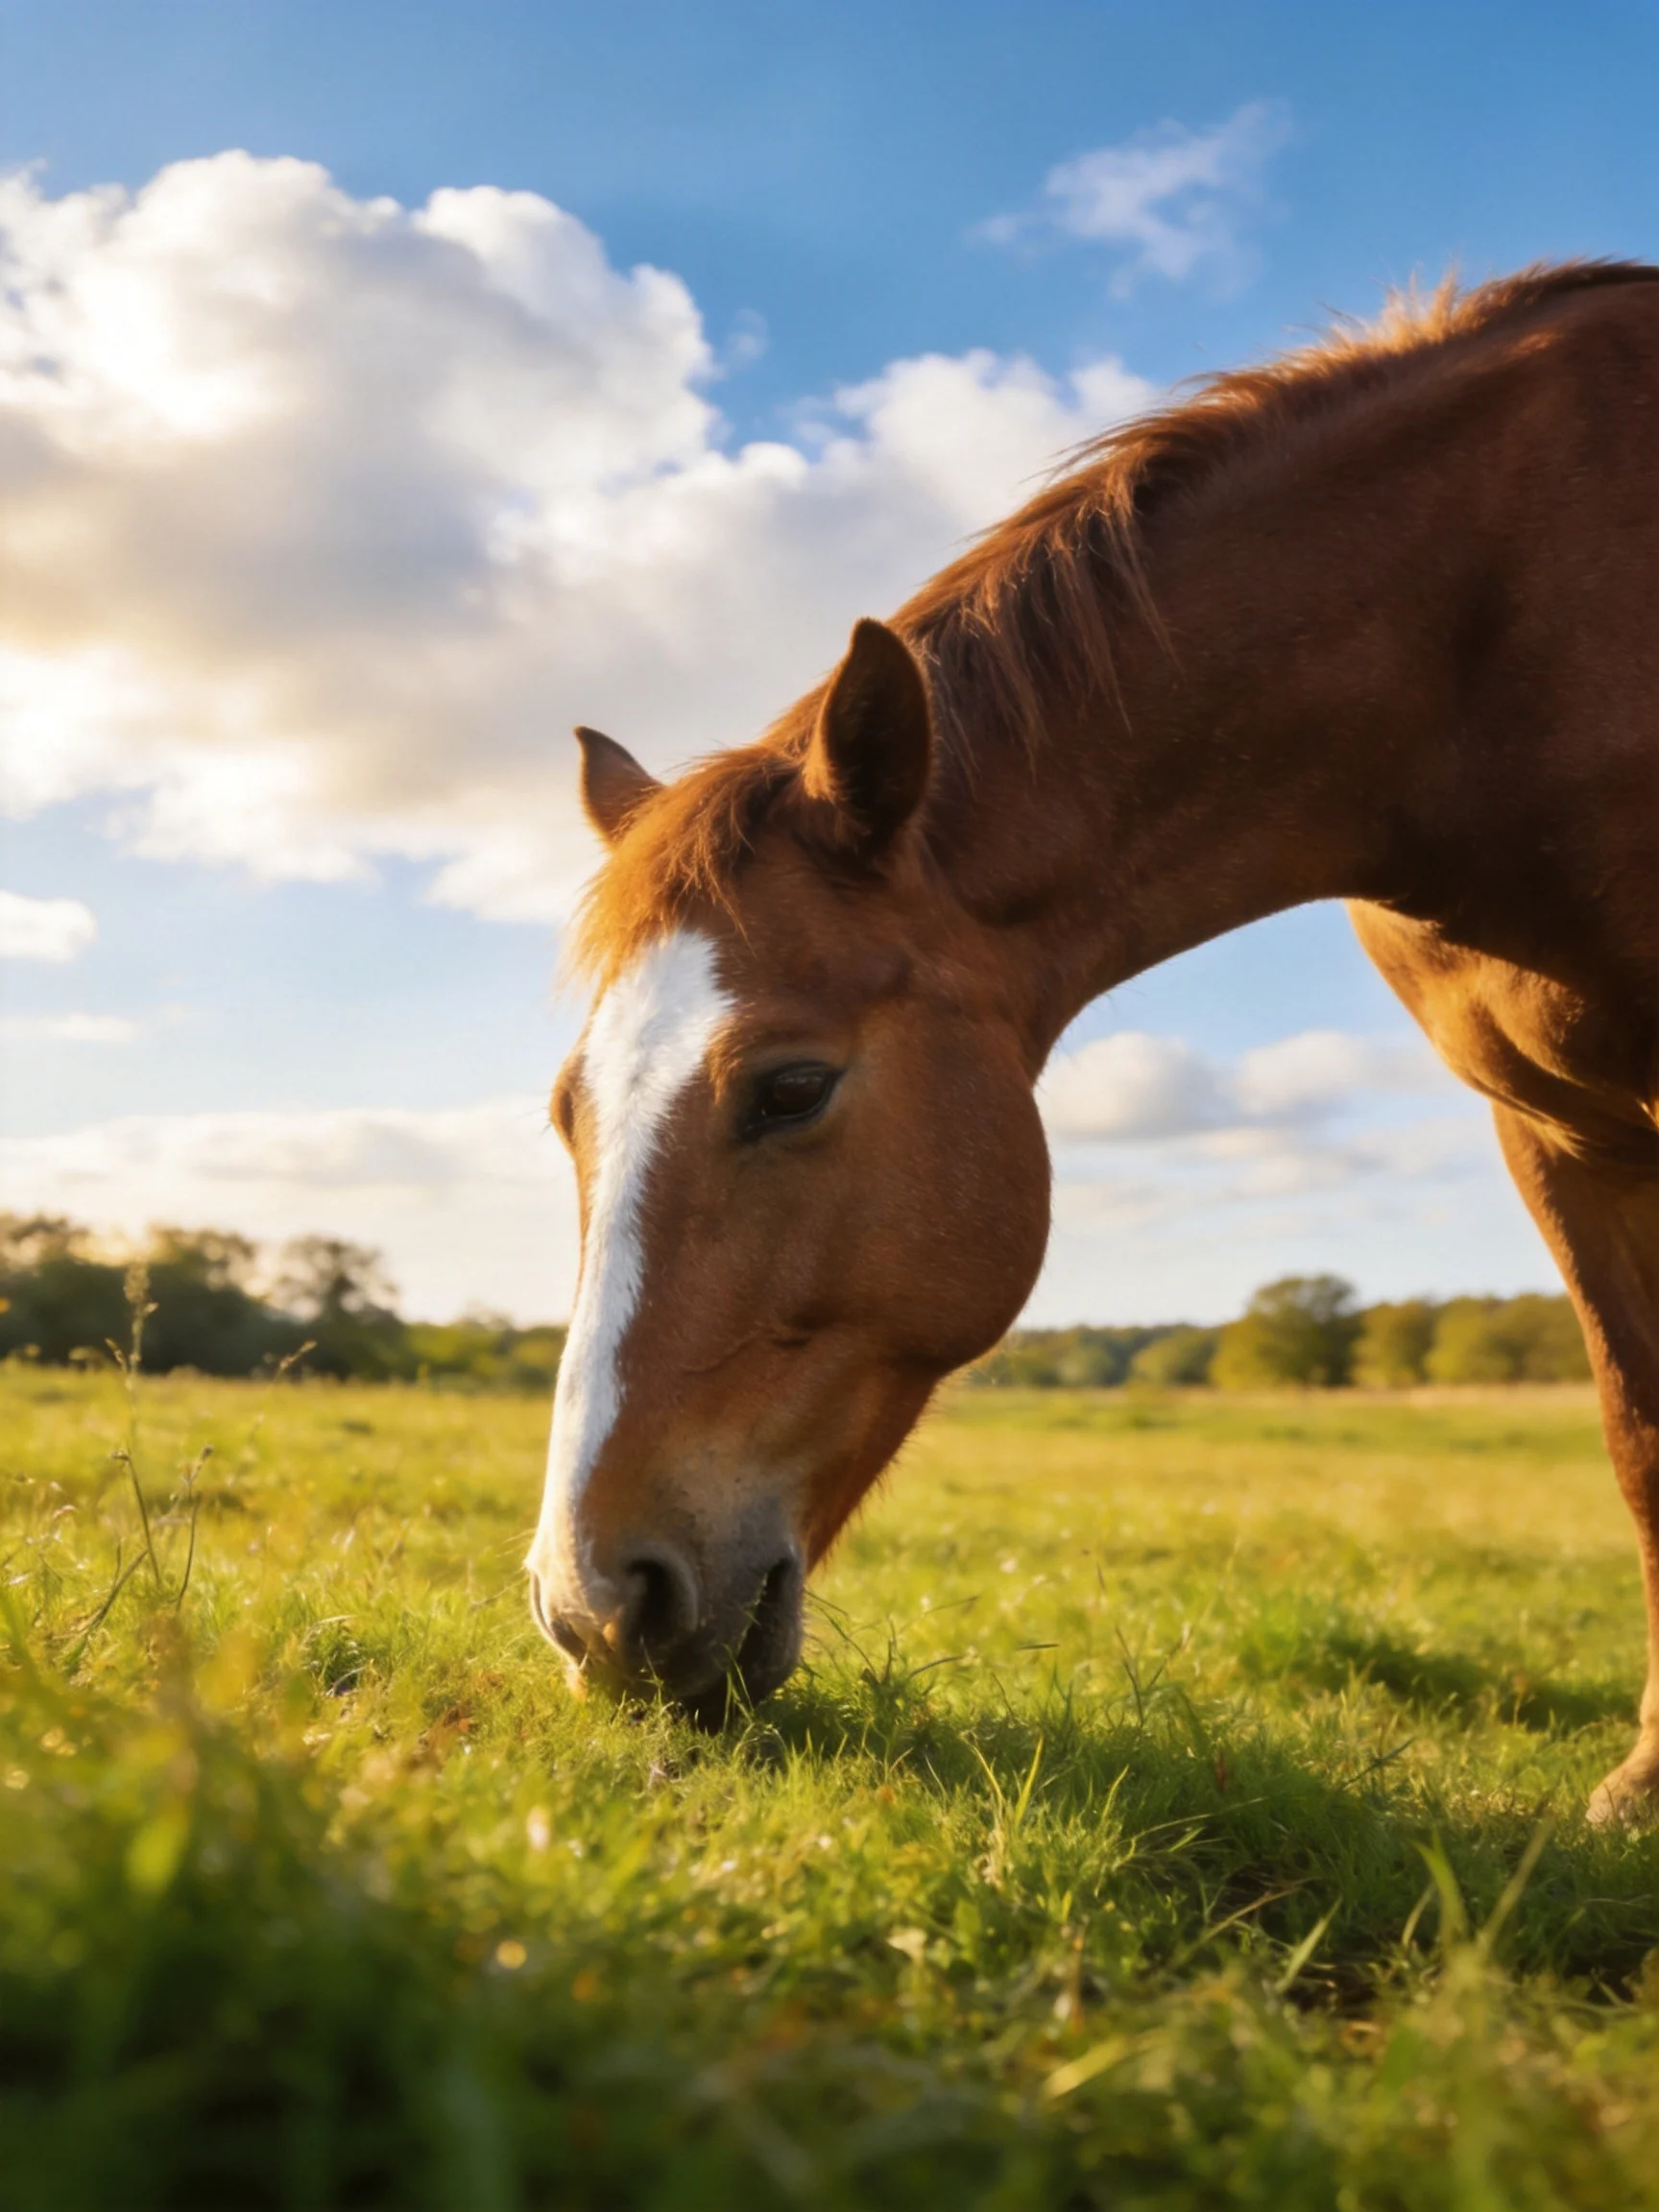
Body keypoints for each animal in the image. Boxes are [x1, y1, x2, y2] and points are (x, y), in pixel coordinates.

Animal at [525, 262, 1659, 1824]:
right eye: (567, 1114)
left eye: (791, 1088)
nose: (591, 1611)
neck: (1501, 636)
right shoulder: (1553, 1132)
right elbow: (1638, 1432)